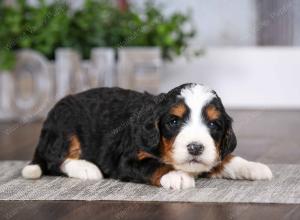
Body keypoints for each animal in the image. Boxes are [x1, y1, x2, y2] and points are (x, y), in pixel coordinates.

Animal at [22, 83, 272, 190]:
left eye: (213, 124)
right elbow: (154, 165)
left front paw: (253, 167)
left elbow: (226, 158)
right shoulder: (126, 158)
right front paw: (177, 175)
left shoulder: (213, 153)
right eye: (174, 121)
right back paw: (86, 168)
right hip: (65, 127)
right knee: (55, 160)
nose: (195, 148)